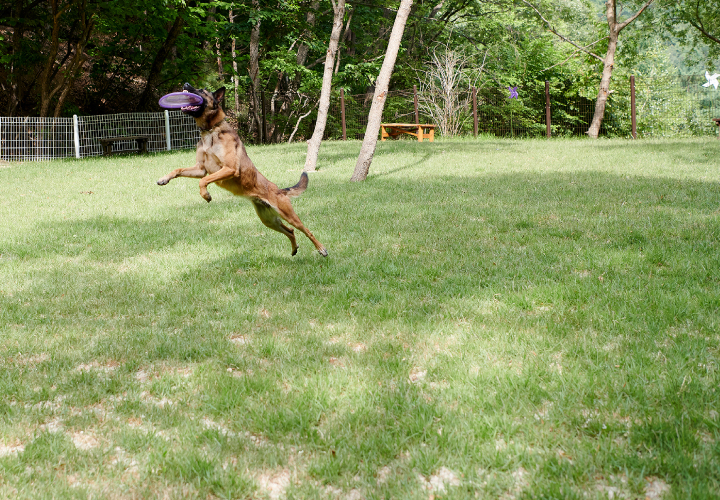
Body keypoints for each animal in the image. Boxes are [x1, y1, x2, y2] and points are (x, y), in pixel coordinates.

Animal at [158, 83, 330, 258]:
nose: (185, 85)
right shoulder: (200, 169)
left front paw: (206, 195)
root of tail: (279, 190)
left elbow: (203, 181)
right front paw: (164, 178)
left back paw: (321, 249)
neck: (211, 130)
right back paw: (294, 249)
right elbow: (179, 169)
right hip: (269, 220)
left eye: (202, 91)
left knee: (306, 230)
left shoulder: (228, 169)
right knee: (290, 231)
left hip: (288, 214)